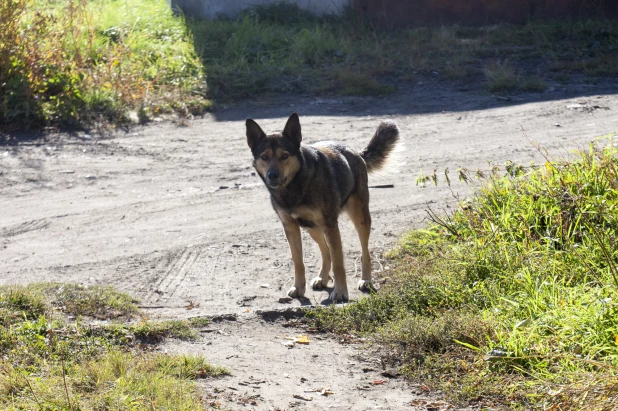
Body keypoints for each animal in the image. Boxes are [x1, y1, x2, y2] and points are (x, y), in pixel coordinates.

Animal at [245, 112, 400, 302]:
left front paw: (341, 292)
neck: (295, 184)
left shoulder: (331, 225)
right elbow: (298, 261)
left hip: (360, 219)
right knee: (325, 251)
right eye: (264, 157)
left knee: (364, 252)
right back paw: (323, 278)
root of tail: (356, 153)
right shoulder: (291, 227)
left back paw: (366, 280)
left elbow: (339, 262)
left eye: (285, 156)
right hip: (312, 227)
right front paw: (298, 287)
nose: (272, 175)